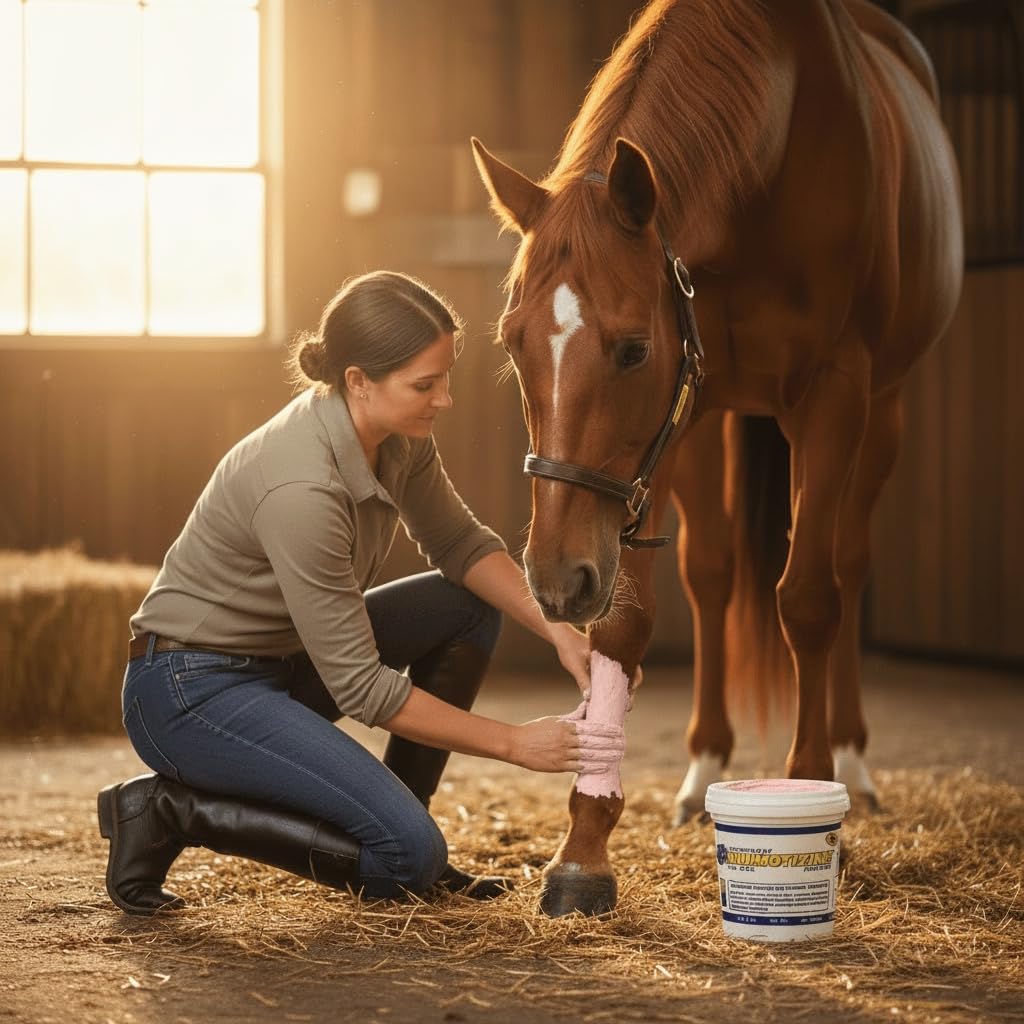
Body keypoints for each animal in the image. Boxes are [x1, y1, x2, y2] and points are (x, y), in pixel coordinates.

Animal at [473, 0, 963, 917]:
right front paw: (584, 848)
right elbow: (629, 621)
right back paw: (703, 772)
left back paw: (851, 764)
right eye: (513, 344)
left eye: (633, 350)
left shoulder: (833, 393)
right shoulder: (682, 409)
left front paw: (814, 802)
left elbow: (808, 600)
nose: (555, 580)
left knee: (847, 564)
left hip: (883, 411)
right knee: (712, 574)